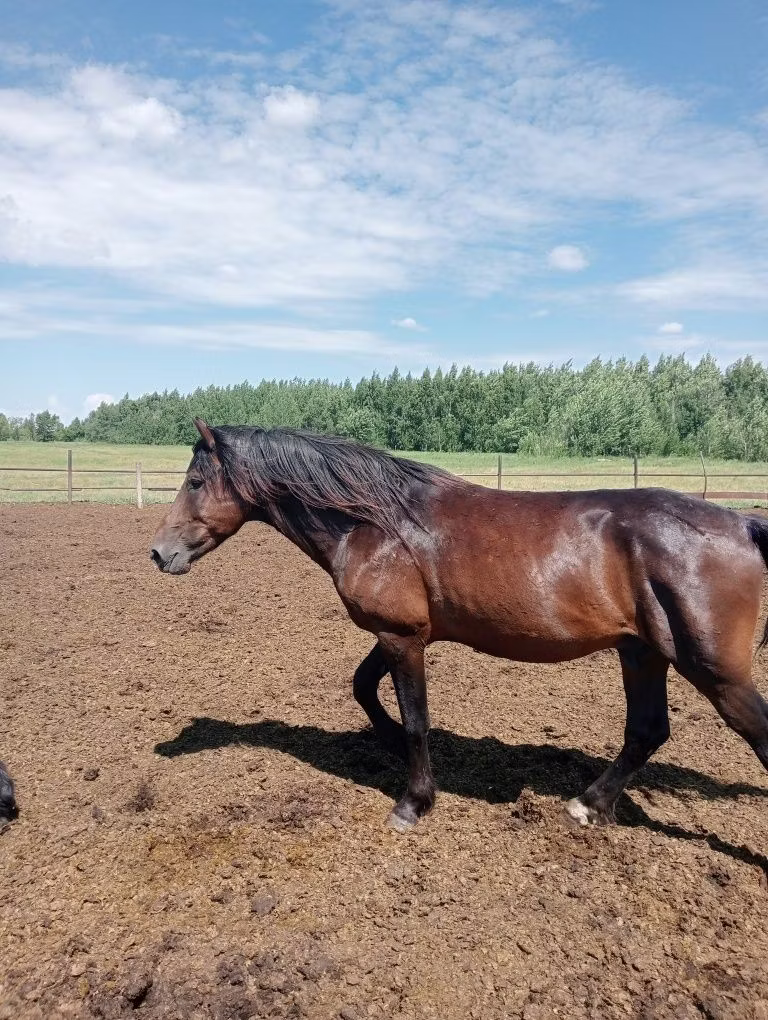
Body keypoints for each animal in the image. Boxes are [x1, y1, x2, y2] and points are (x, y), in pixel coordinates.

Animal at [150, 418, 768, 833]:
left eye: (196, 481)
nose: (159, 553)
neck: (374, 524)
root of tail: (741, 523)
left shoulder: (401, 637)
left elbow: (417, 720)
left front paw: (413, 801)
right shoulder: (399, 634)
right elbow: (364, 688)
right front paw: (389, 745)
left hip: (714, 671)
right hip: (642, 653)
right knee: (646, 732)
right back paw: (589, 805)